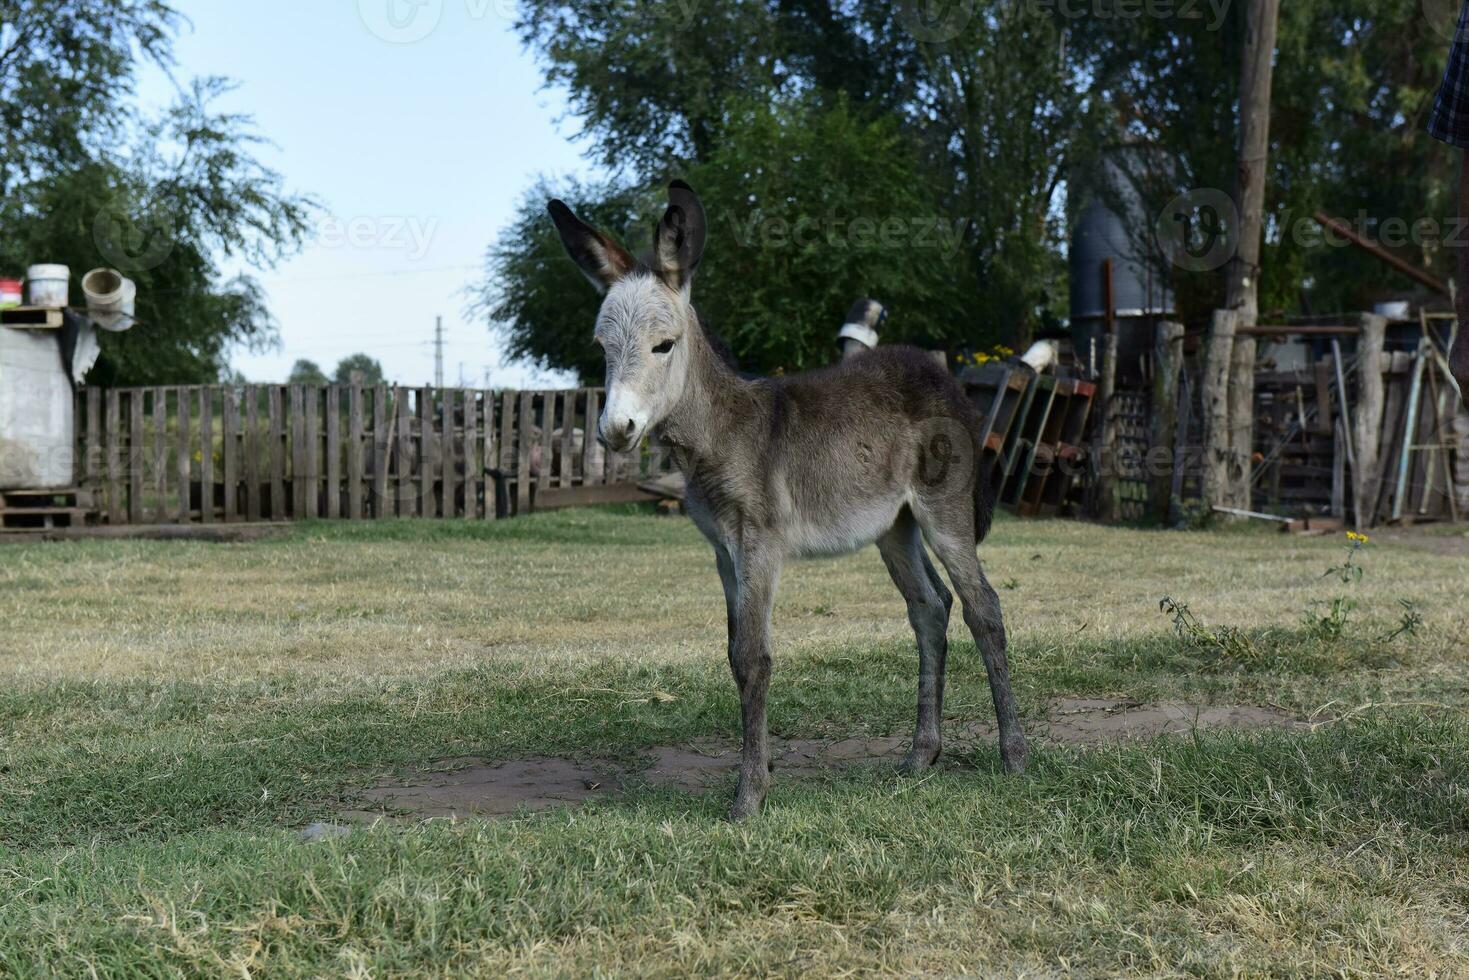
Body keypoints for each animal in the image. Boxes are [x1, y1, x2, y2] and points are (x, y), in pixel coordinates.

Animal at [546, 178, 1028, 822]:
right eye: (602, 347)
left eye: (663, 346)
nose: (616, 430)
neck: (721, 429)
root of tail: (941, 374)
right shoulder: (722, 551)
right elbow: (733, 654)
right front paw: (762, 772)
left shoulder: (760, 544)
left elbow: (755, 658)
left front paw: (749, 795)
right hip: (893, 525)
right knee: (930, 607)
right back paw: (922, 753)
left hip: (943, 513)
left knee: (983, 608)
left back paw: (1014, 756)